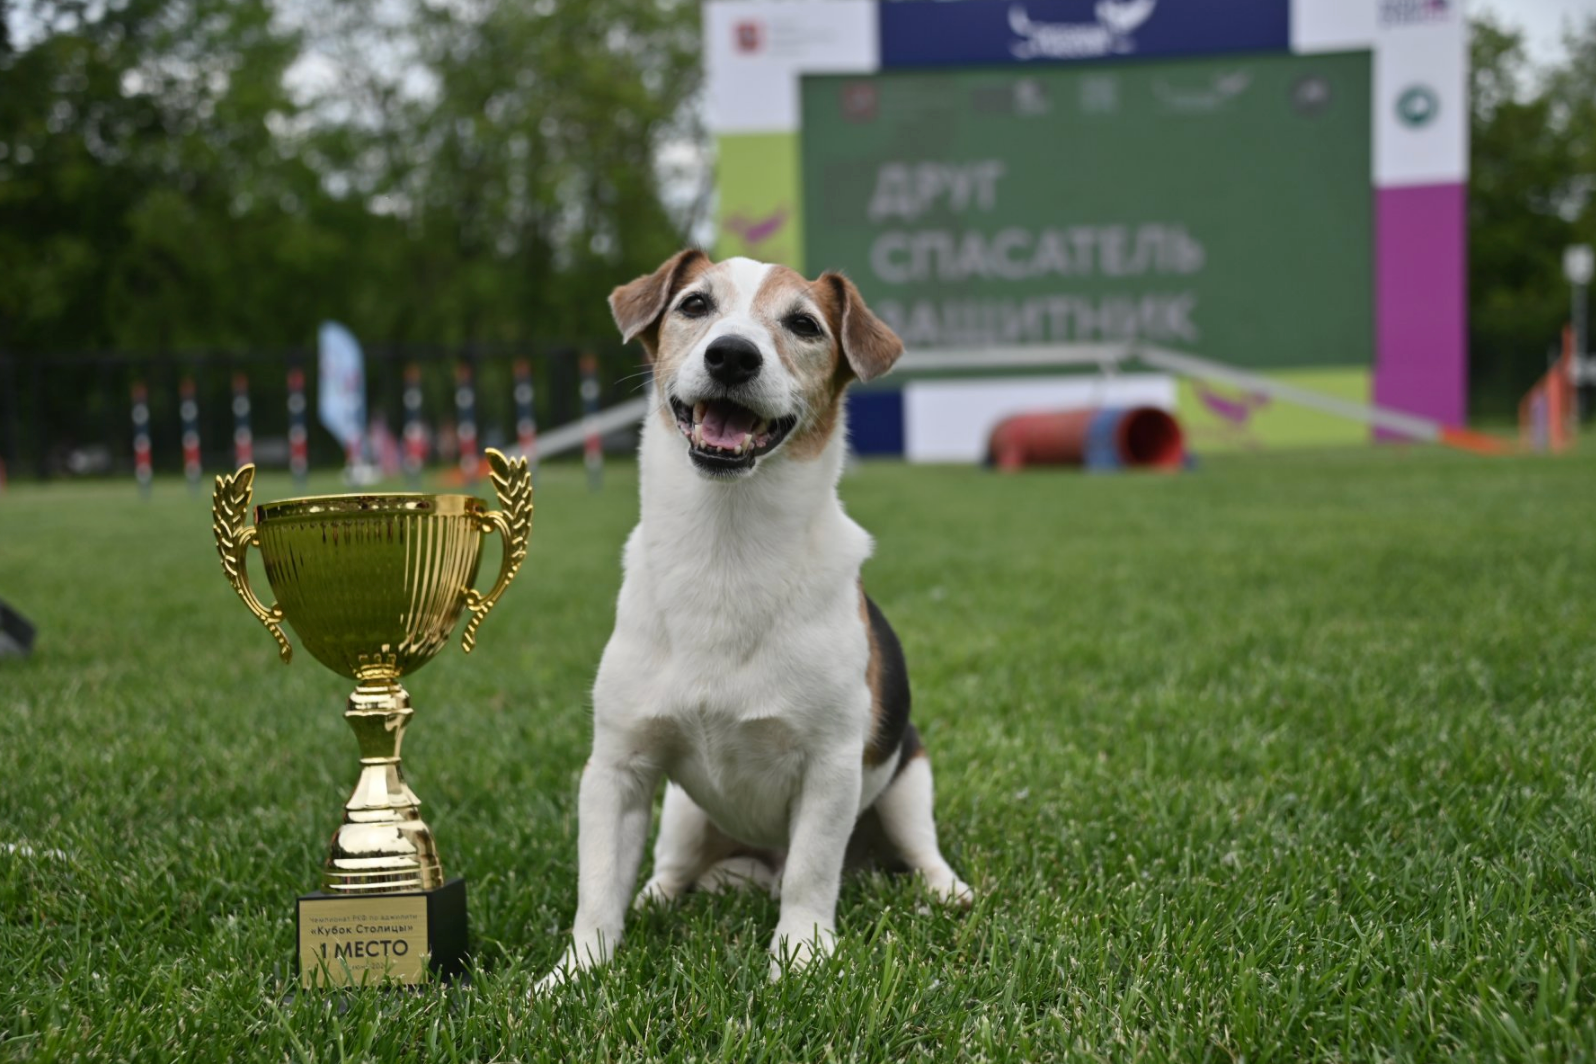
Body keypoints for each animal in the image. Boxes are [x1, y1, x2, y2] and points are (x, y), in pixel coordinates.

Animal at [536, 250, 970, 989]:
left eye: (803, 324)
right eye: (694, 305)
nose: (733, 355)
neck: (726, 549)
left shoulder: (831, 765)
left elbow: (811, 874)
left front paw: (800, 957)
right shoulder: (617, 766)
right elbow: (596, 889)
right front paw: (575, 973)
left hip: (908, 777)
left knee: (917, 852)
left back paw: (946, 891)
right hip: (683, 815)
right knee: (671, 868)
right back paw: (656, 899)